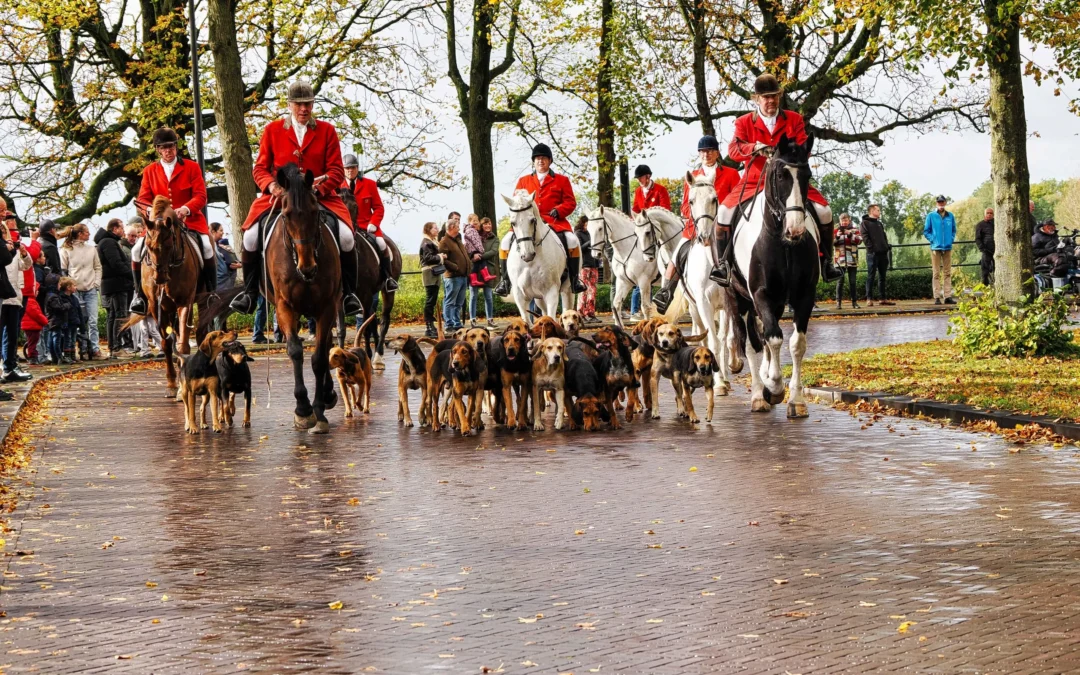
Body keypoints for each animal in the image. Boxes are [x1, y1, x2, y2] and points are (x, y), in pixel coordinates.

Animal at [123, 193, 205, 395]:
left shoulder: (185, 302)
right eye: (149, 246)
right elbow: (166, 344)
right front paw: (171, 384)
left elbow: (183, 342)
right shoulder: (156, 306)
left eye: (169, 244)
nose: (159, 277)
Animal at [263, 163, 339, 432]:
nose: (307, 268)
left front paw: (318, 409)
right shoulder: (285, 307)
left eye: (315, 212)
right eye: (285, 215)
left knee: (327, 345)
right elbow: (295, 351)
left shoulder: (327, 306)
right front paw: (303, 409)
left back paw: (327, 394)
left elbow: (318, 358)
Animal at [336, 185, 401, 369]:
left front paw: (366, 356)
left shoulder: (364, 295)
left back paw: (378, 356)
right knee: (373, 320)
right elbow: (342, 330)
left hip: (387, 291)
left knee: (384, 320)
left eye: (356, 207)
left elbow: (364, 328)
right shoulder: (340, 299)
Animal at [503, 187, 574, 321]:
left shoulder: (552, 292)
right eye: (513, 223)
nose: (527, 255)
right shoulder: (520, 295)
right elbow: (527, 320)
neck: (530, 263)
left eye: (532, 220)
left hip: (567, 289)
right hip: (538, 297)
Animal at [725, 133, 816, 416]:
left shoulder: (804, 296)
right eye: (779, 175)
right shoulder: (760, 294)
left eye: (807, 174)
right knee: (750, 343)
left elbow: (796, 343)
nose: (795, 230)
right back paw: (758, 394)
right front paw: (774, 386)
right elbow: (773, 338)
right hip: (738, 298)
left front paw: (796, 399)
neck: (782, 242)